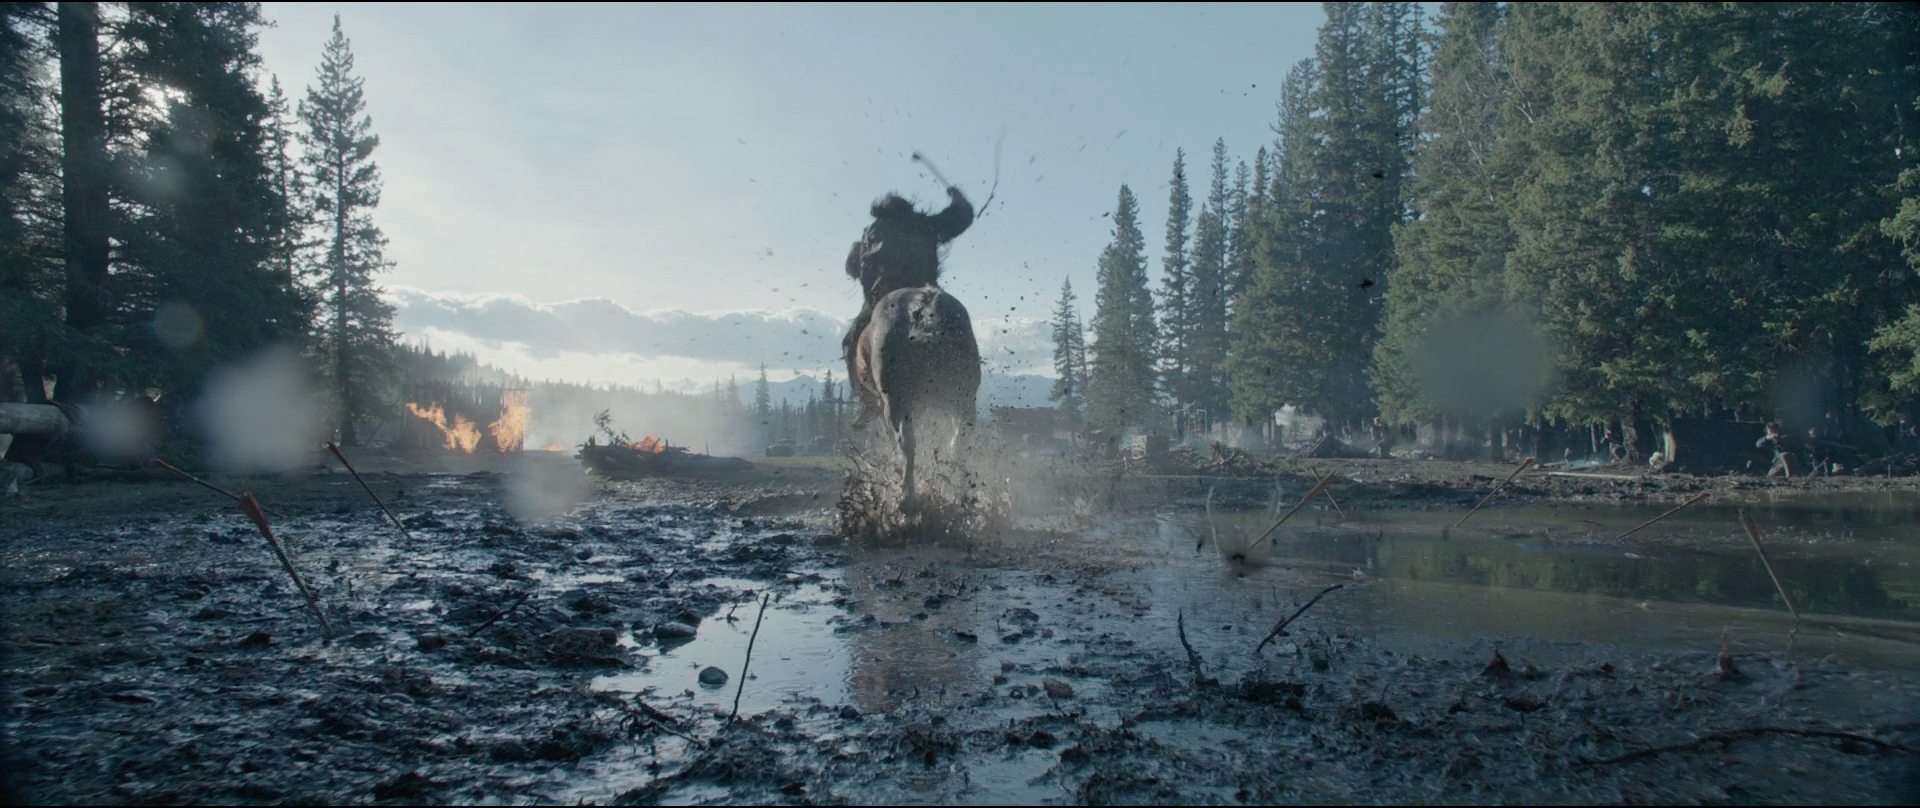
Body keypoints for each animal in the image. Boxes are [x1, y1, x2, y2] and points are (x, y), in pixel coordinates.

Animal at [856, 280, 975, 499]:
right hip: (964, 400)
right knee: (959, 445)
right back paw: (957, 491)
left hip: (895, 402)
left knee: (907, 444)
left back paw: (907, 496)